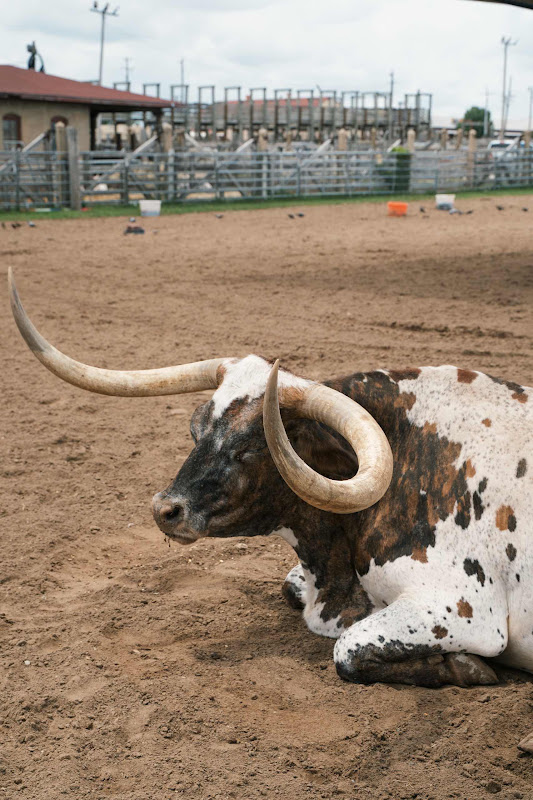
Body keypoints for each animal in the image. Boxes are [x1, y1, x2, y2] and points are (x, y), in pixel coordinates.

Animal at [8, 268, 533, 751]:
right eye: (196, 431)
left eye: (249, 448)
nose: (165, 510)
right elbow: (292, 590)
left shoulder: (462, 608)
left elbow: (347, 649)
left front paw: (467, 667)